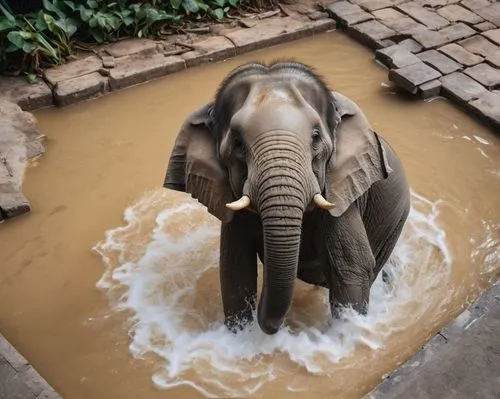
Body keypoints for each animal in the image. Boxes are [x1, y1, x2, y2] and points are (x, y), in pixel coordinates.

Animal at [163, 61, 410, 336]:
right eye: (237, 143)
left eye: (315, 137)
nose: (273, 326)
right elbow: (234, 270)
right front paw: (240, 336)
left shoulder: (343, 195)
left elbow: (352, 268)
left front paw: (345, 334)